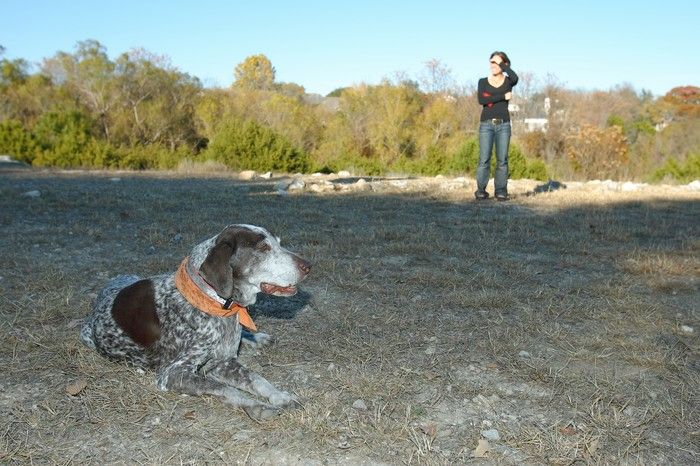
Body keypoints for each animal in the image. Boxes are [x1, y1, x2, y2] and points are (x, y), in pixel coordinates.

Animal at [79, 224, 312, 420]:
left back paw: (257, 337)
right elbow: (224, 388)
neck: (214, 301)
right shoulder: (174, 373)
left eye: (279, 242)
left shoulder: (222, 362)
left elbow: (257, 379)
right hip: (86, 337)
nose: (309, 266)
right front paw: (257, 405)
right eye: (263, 247)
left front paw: (280, 396)